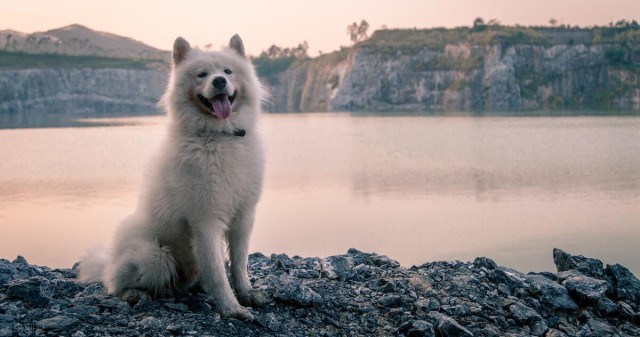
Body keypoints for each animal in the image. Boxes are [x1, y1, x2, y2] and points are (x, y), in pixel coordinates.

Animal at [79, 34, 264, 320]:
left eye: (227, 71)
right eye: (202, 74)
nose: (219, 81)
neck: (220, 137)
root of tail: (110, 261)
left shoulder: (244, 216)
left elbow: (239, 264)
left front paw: (246, 293)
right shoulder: (205, 221)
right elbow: (218, 273)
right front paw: (231, 308)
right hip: (156, 256)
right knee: (113, 284)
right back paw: (134, 293)